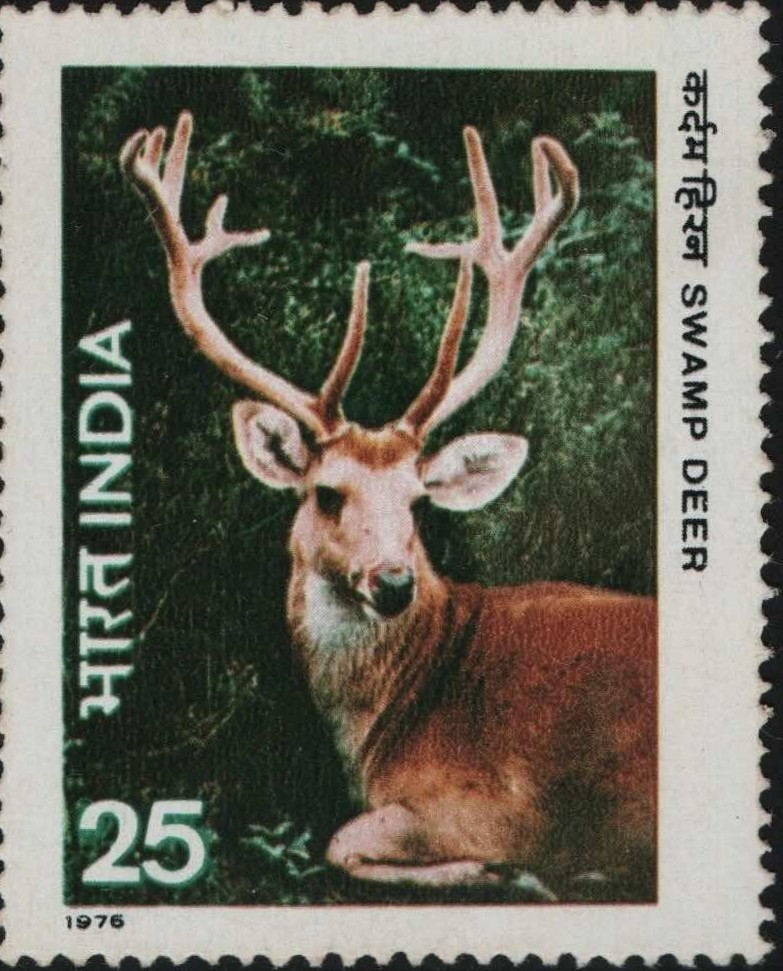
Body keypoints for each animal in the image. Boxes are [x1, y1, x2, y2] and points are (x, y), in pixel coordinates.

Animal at [121, 112, 656, 900]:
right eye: (326, 491)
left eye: (416, 499)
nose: (394, 581)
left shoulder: (505, 806)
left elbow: (340, 841)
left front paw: (502, 873)